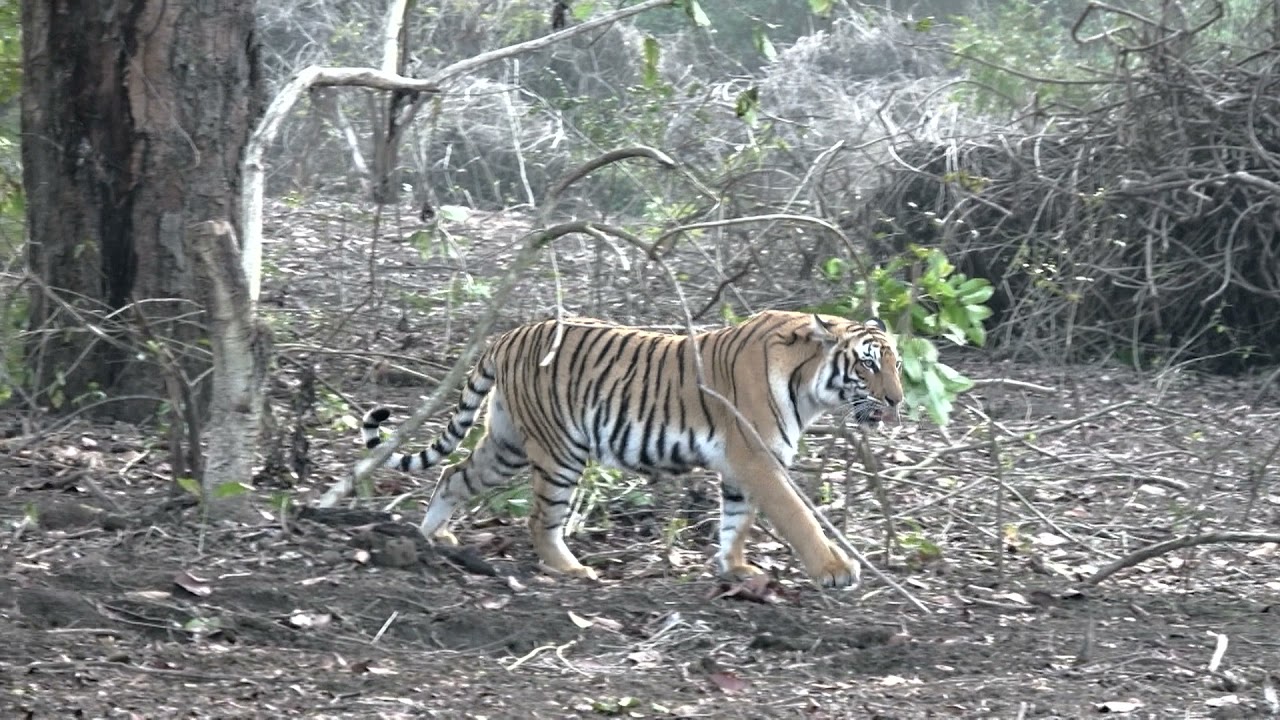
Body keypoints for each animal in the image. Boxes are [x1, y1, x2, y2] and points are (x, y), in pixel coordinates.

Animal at [360, 310, 903, 588]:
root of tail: (507, 335)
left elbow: (737, 520)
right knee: (541, 520)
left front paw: (735, 567)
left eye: (895, 363)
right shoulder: (757, 457)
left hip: (507, 443)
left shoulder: (740, 466)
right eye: (869, 364)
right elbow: (797, 517)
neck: (808, 386)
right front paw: (835, 570)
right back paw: (571, 568)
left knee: (453, 474)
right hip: (560, 451)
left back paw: (432, 536)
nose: (897, 400)